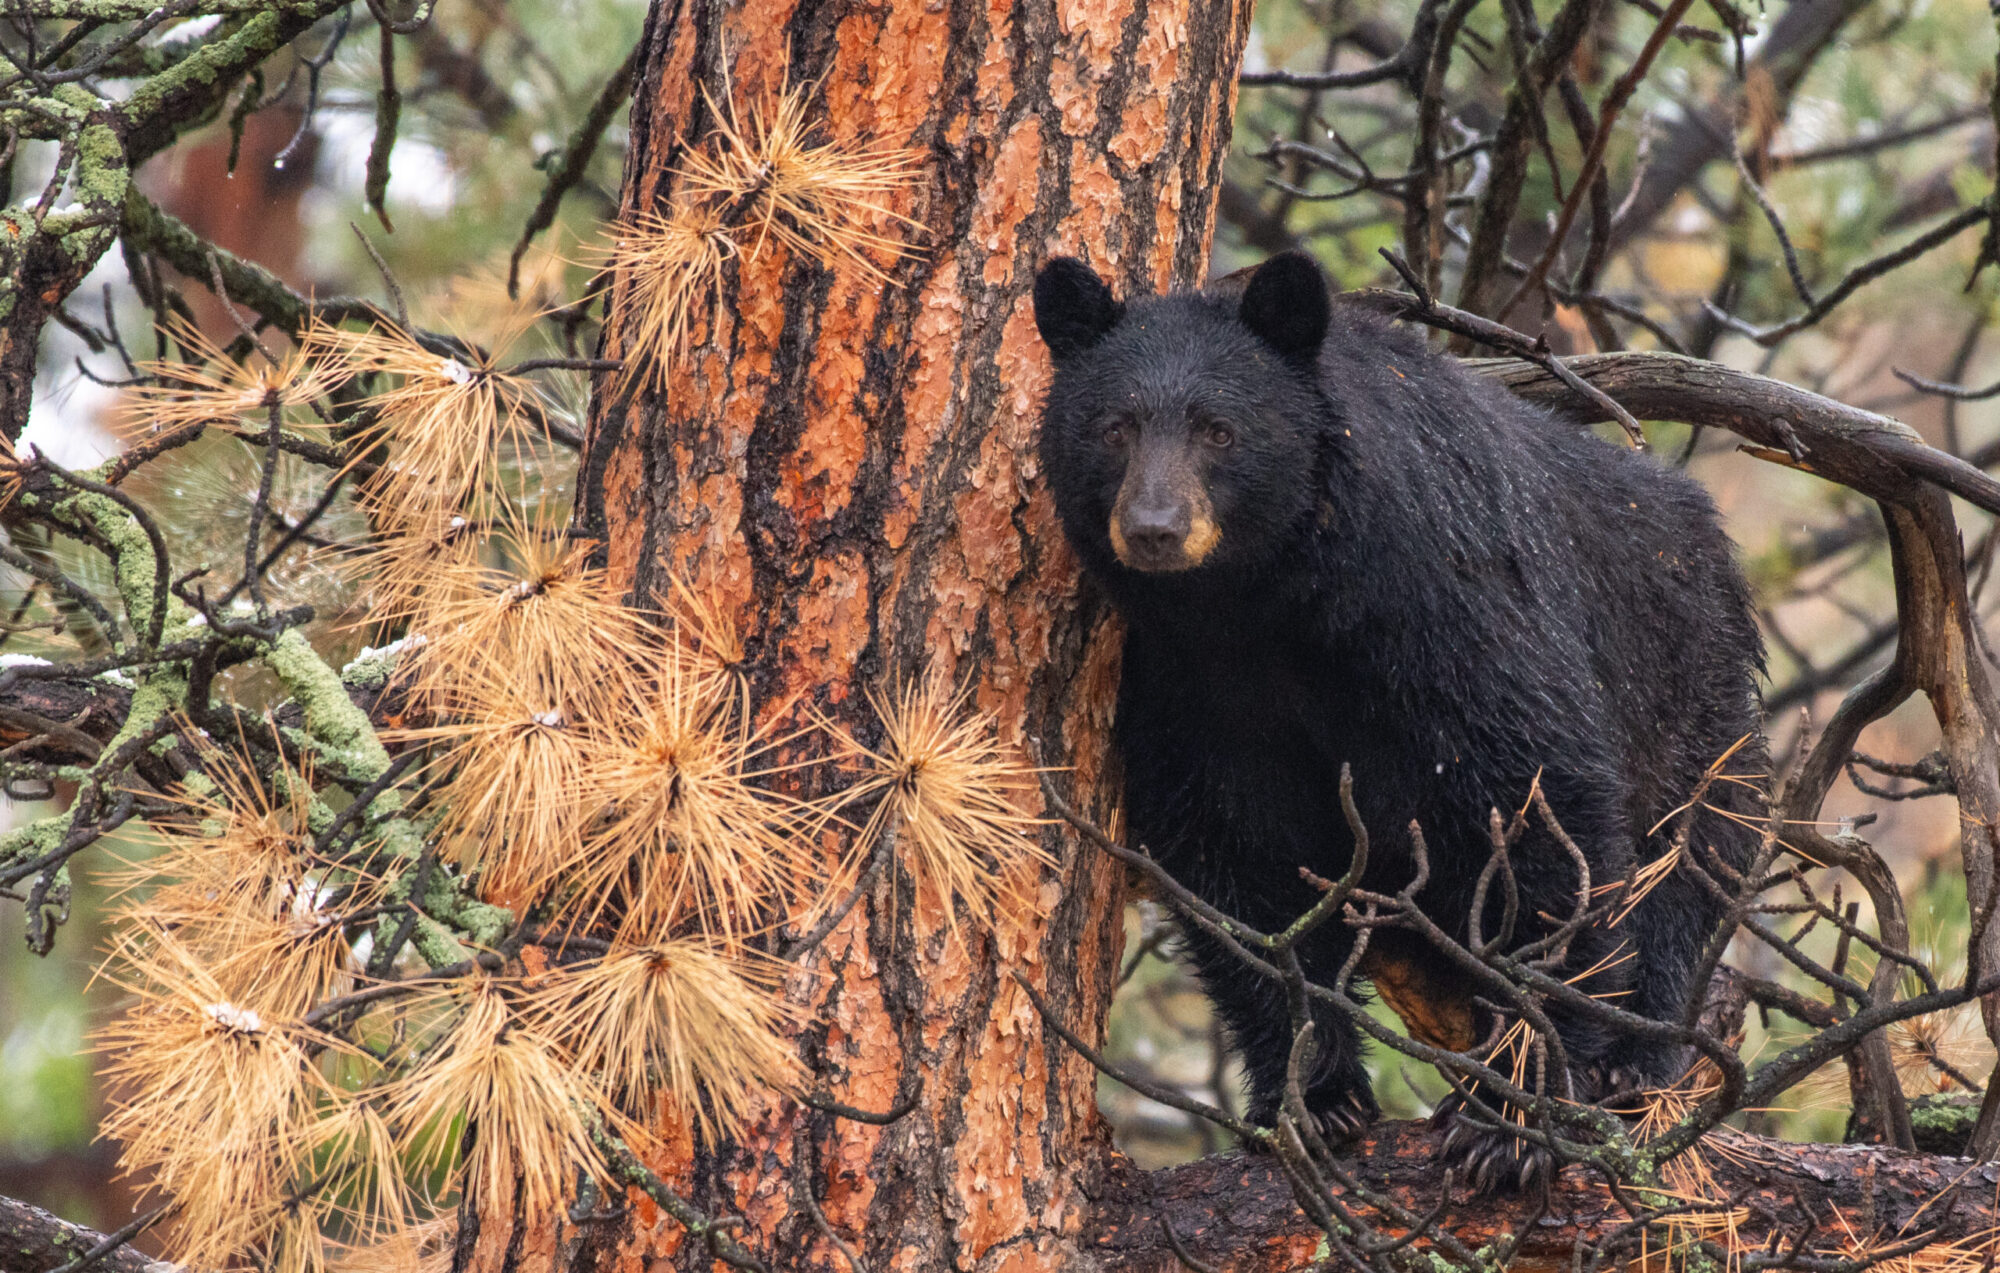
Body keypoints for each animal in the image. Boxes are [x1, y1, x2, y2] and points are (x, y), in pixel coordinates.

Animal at [1032, 251, 1768, 1192]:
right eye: (1115, 428)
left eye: (1219, 430)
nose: (1155, 528)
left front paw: (1511, 1116)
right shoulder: (1186, 676)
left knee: (1687, 859)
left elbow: (1534, 802)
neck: (1271, 602)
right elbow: (1231, 856)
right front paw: (1312, 1097)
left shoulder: (1443, 603)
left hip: (1690, 693)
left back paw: (1638, 1058)